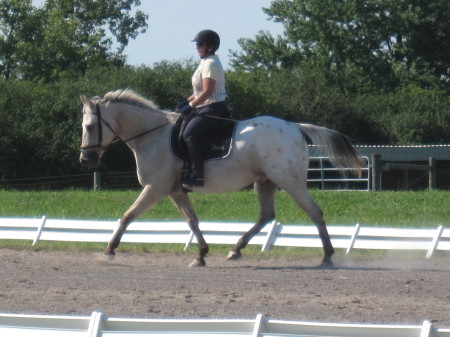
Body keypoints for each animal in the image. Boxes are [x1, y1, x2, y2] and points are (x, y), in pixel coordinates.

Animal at [80, 89, 362, 268]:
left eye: (90, 127)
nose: (86, 159)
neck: (151, 135)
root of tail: (294, 126)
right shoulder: (176, 191)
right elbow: (192, 221)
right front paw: (201, 255)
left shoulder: (155, 188)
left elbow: (128, 215)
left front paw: (109, 251)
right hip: (266, 181)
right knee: (266, 216)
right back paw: (235, 250)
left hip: (290, 181)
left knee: (314, 211)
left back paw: (327, 256)